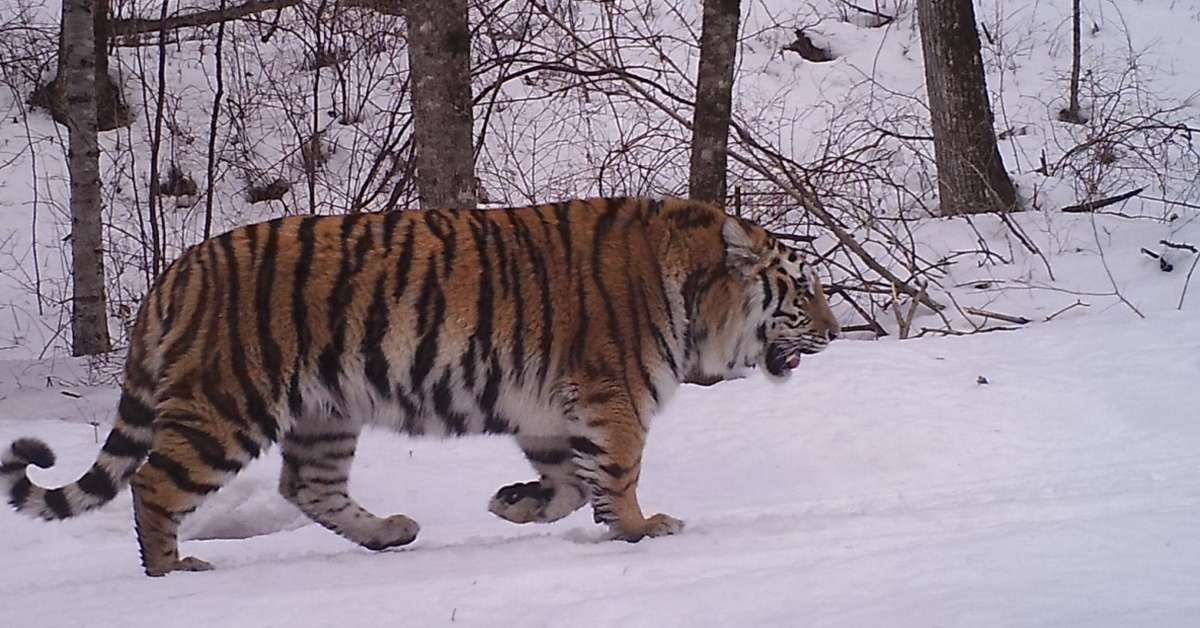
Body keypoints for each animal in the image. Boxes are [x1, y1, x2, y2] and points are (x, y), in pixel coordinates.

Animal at [2, 195, 844, 573]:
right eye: (802, 289)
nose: (836, 332)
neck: (698, 292)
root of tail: (174, 272)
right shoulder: (613, 397)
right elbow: (618, 476)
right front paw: (644, 528)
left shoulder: (551, 409)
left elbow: (572, 483)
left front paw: (515, 505)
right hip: (227, 404)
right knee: (154, 484)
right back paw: (174, 569)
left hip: (325, 410)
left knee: (307, 486)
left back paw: (389, 533)